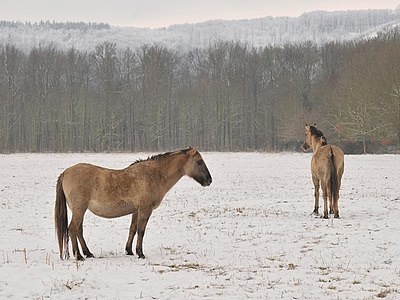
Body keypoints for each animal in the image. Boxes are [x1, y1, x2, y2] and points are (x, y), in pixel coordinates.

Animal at [56, 147, 214, 260]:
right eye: (199, 161)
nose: (209, 180)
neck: (154, 175)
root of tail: (66, 172)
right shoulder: (145, 209)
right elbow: (141, 231)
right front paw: (140, 253)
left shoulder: (136, 210)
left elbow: (133, 228)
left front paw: (129, 251)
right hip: (79, 209)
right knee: (73, 229)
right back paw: (79, 256)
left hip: (80, 210)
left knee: (78, 230)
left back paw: (88, 253)